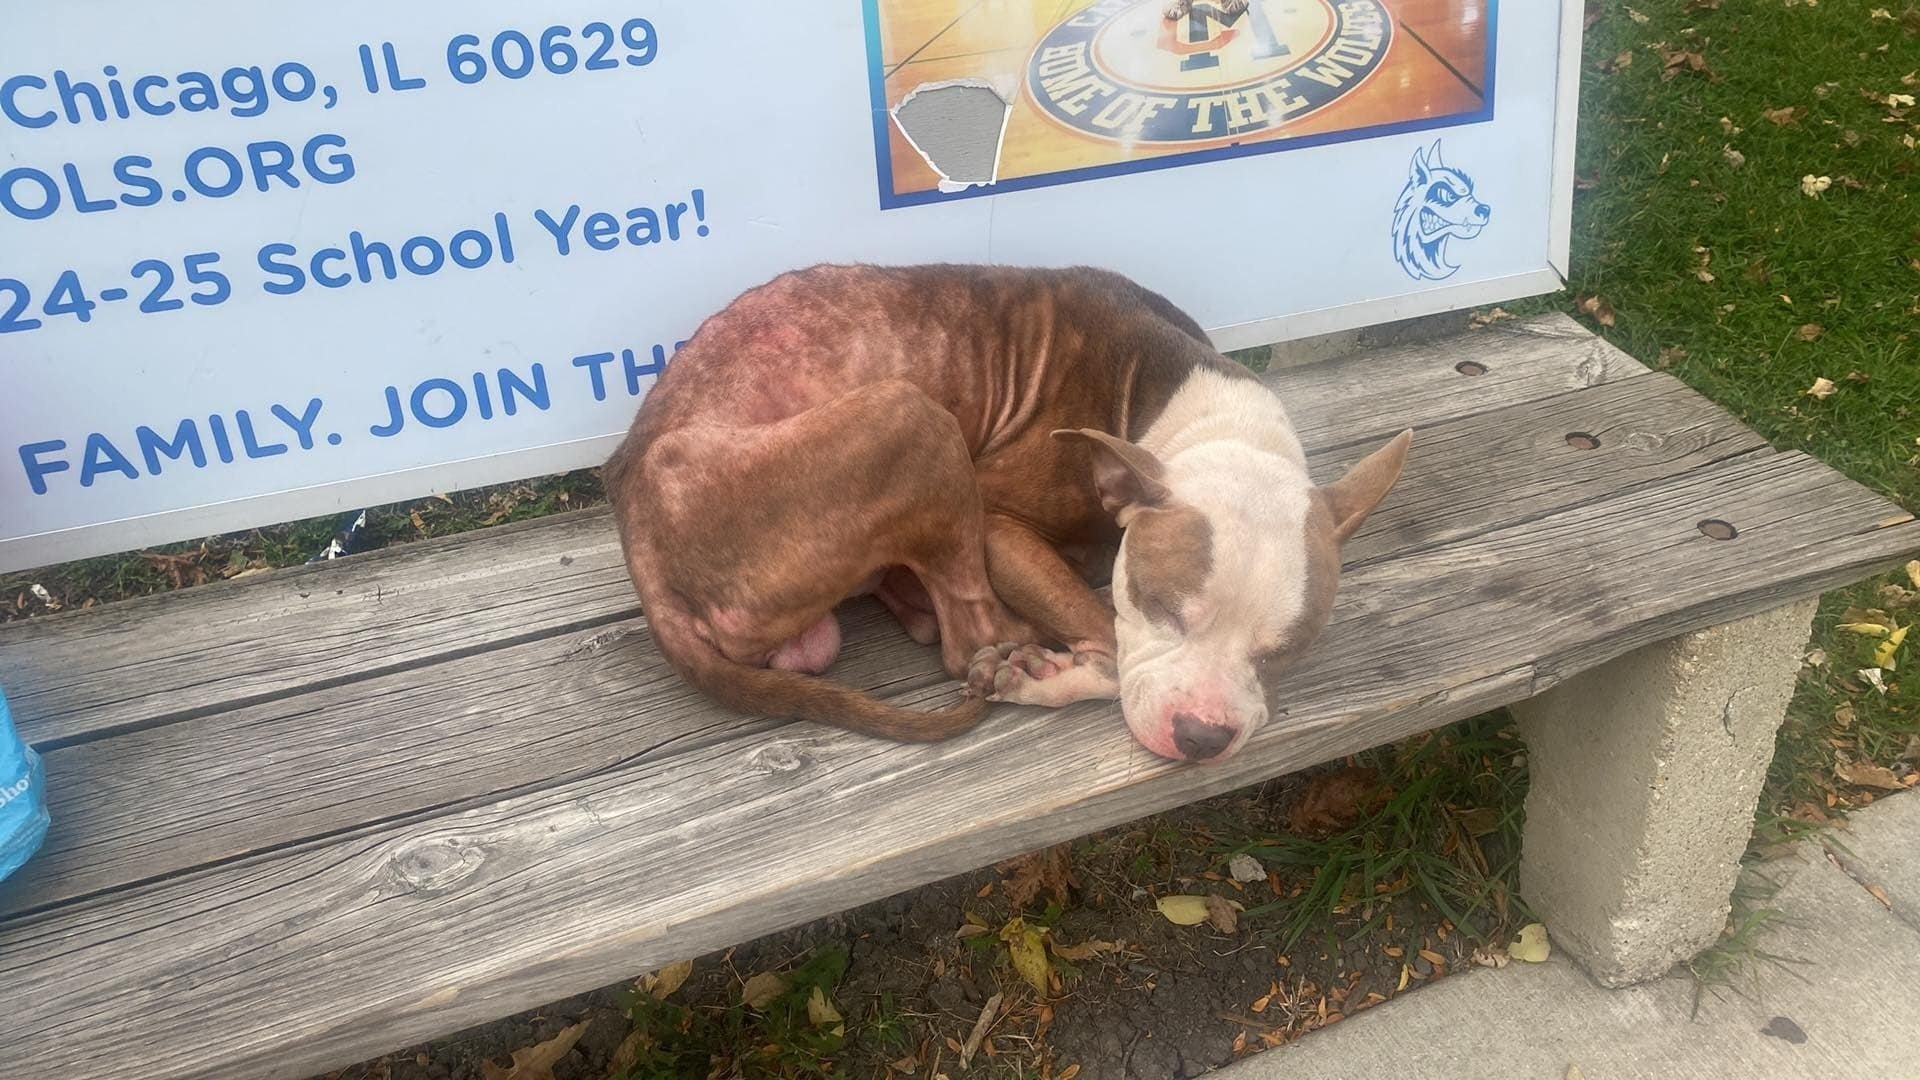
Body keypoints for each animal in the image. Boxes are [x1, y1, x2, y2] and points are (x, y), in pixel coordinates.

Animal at [602, 263, 1413, 760]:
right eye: (1161, 608)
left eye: (1285, 650)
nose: (1203, 737)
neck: (1198, 413)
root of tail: (632, 507)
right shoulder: (1000, 526)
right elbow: (1112, 643)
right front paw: (1051, 674)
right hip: (913, 419)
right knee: (966, 640)